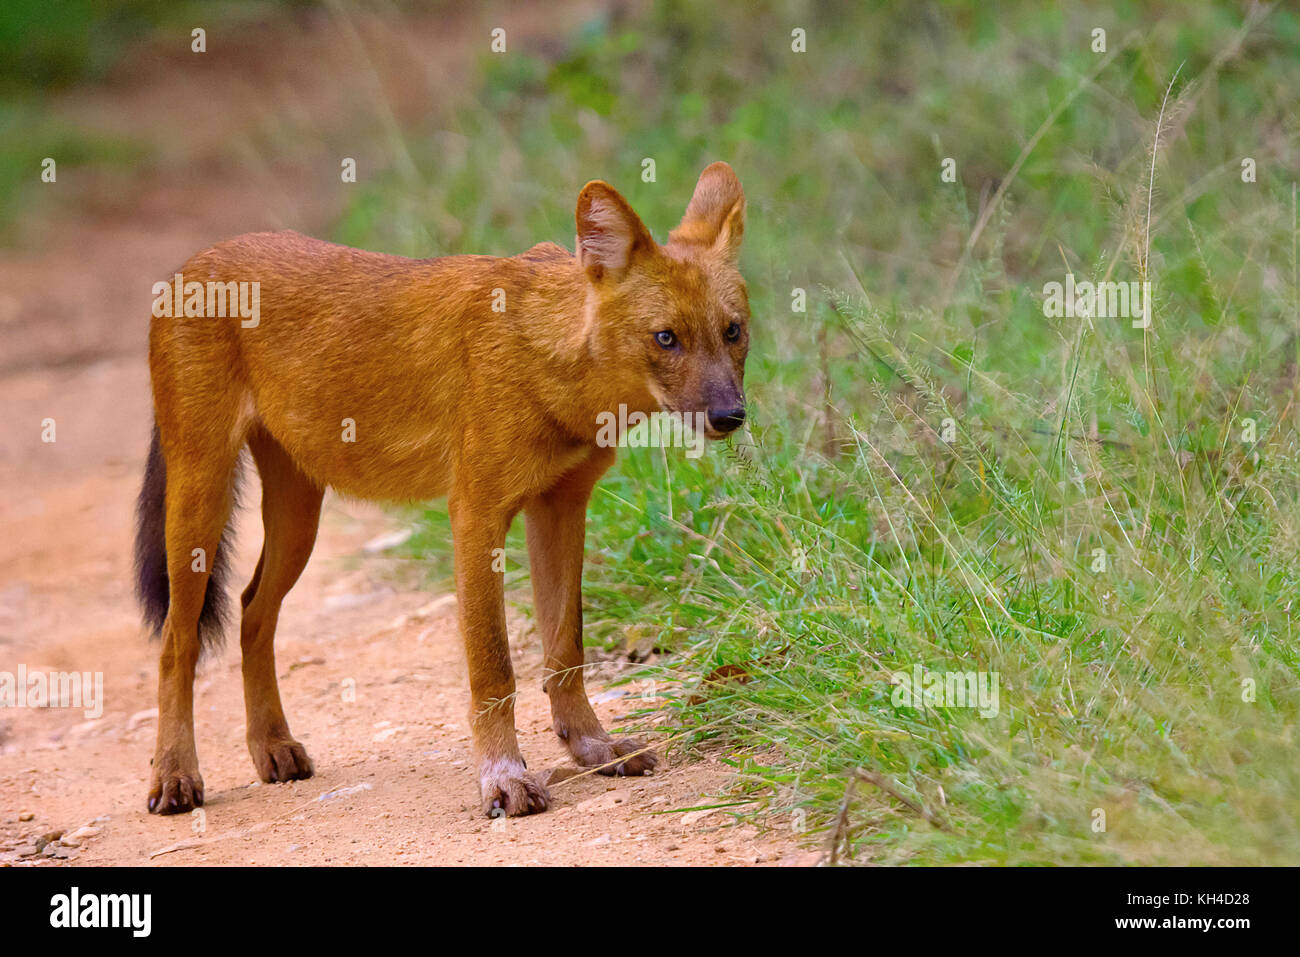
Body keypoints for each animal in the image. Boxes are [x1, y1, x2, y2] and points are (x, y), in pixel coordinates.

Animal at [134, 160, 754, 816]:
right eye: (666, 338)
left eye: (732, 331)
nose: (730, 415)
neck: (550, 363)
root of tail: (189, 264)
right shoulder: (477, 513)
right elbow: (494, 667)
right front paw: (505, 780)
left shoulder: (561, 506)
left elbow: (566, 649)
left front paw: (593, 748)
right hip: (200, 494)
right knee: (177, 641)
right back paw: (174, 776)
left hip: (300, 514)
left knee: (253, 610)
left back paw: (272, 748)